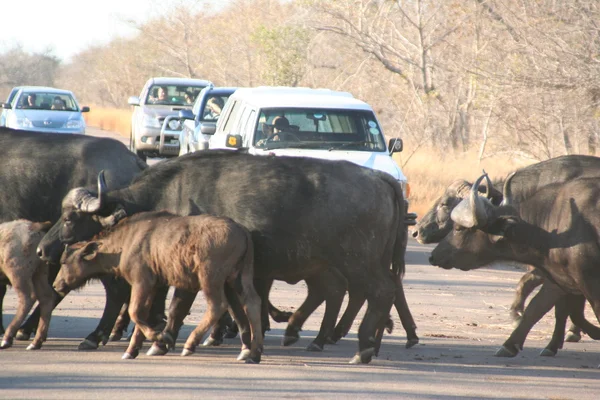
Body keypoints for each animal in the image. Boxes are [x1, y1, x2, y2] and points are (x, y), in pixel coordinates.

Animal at [0, 220, 53, 348]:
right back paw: (36, 342)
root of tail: (35, 226)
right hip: (40, 272)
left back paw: (7, 339)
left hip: (18, 273)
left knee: (27, 298)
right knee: (46, 297)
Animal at [54, 211, 262, 364]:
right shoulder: (153, 286)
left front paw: (161, 338)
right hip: (238, 279)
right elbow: (141, 316)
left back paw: (190, 344)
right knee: (252, 304)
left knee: (217, 306)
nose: (56, 284)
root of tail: (242, 231)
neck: (124, 243)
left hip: (211, 279)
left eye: (64, 262)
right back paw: (254, 353)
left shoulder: (141, 282)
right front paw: (132, 350)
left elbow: (135, 313)